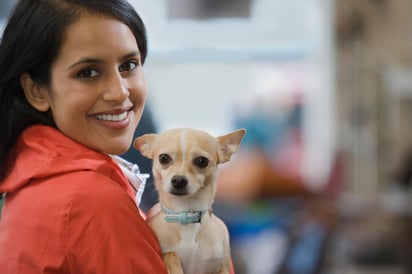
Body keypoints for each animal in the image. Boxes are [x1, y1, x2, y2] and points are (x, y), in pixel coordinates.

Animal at [134, 128, 245, 274]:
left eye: (202, 161)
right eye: (163, 158)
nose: (178, 180)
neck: (186, 213)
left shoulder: (223, 268)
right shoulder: (167, 252)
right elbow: (170, 254)